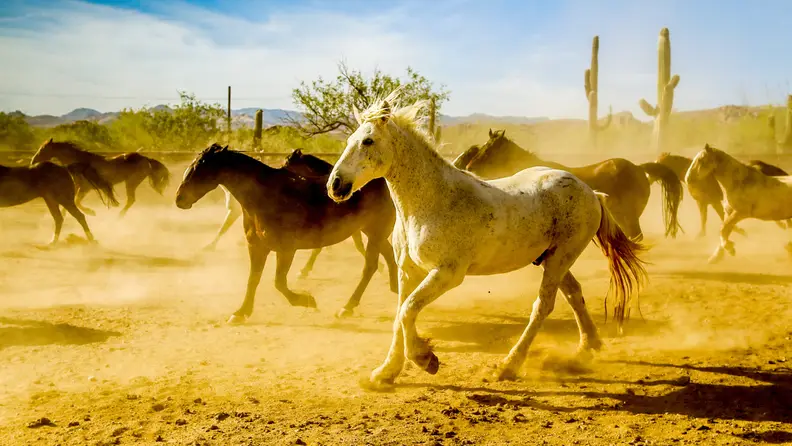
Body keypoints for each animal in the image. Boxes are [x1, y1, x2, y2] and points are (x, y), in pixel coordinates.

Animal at [31, 139, 171, 217]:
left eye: (43, 149)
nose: (33, 160)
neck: (80, 161)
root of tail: (146, 159)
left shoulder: (84, 189)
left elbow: (77, 201)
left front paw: (91, 212)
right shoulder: (78, 188)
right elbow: (71, 204)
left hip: (131, 182)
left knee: (131, 200)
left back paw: (119, 216)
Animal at [175, 144, 398, 323]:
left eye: (201, 168)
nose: (179, 199)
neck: (264, 196)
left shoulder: (286, 249)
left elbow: (279, 283)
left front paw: (307, 300)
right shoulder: (256, 247)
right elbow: (253, 279)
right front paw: (241, 313)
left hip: (376, 231)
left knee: (370, 267)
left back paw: (348, 307)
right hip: (372, 231)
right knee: (389, 256)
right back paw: (396, 289)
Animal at [327, 91, 647, 386]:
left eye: (368, 141)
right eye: (349, 139)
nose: (335, 185)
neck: (431, 203)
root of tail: (591, 192)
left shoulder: (448, 273)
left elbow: (407, 311)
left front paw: (425, 359)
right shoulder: (409, 271)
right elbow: (401, 315)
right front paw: (385, 373)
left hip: (560, 258)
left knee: (543, 306)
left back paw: (509, 365)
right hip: (553, 258)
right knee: (574, 294)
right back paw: (587, 347)